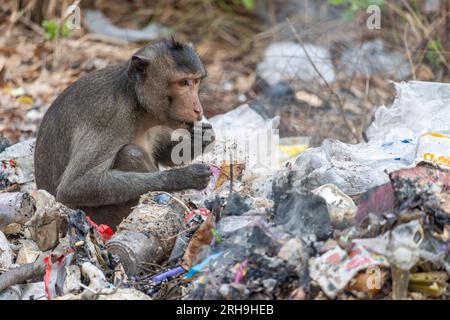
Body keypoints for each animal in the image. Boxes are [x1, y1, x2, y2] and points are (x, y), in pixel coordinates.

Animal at [36, 38, 215, 228]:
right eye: (182, 83)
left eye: (196, 81)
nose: (198, 109)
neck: (136, 101)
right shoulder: (109, 117)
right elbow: (73, 188)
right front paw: (182, 177)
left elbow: (167, 155)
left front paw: (201, 137)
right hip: (102, 218)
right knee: (131, 153)